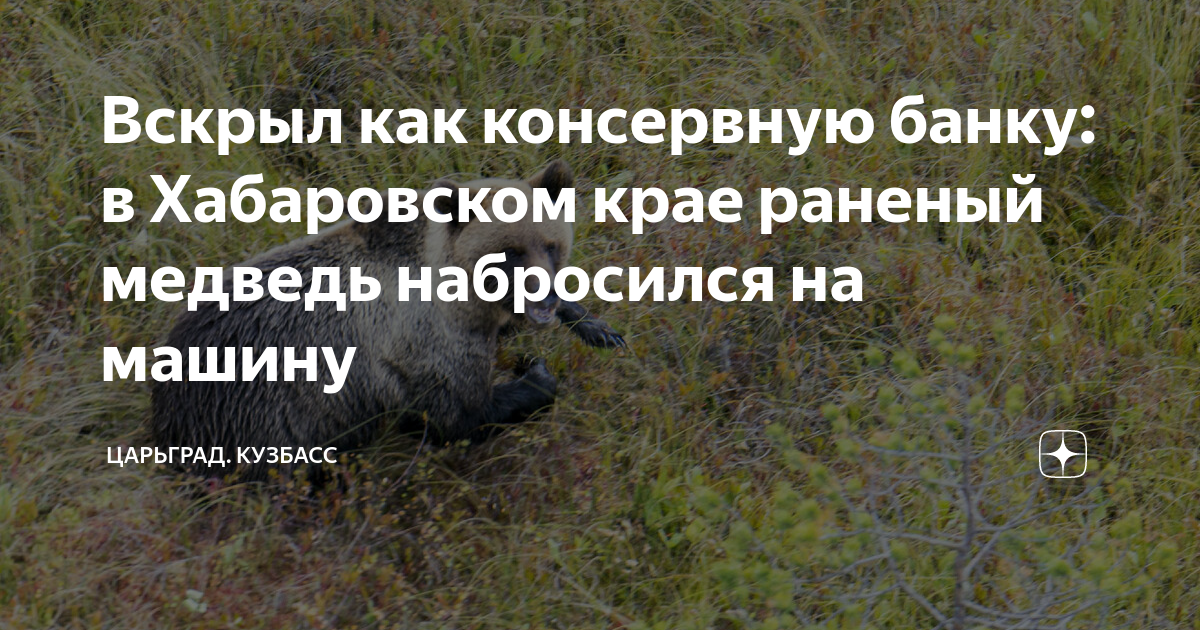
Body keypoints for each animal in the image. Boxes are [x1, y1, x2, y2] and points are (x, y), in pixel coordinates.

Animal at [150, 159, 623, 481]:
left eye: (550, 245)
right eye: (509, 252)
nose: (543, 297)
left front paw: (597, 328)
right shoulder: (425, 345)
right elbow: (457, 416)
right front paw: (535, 374)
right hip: (254, 416)